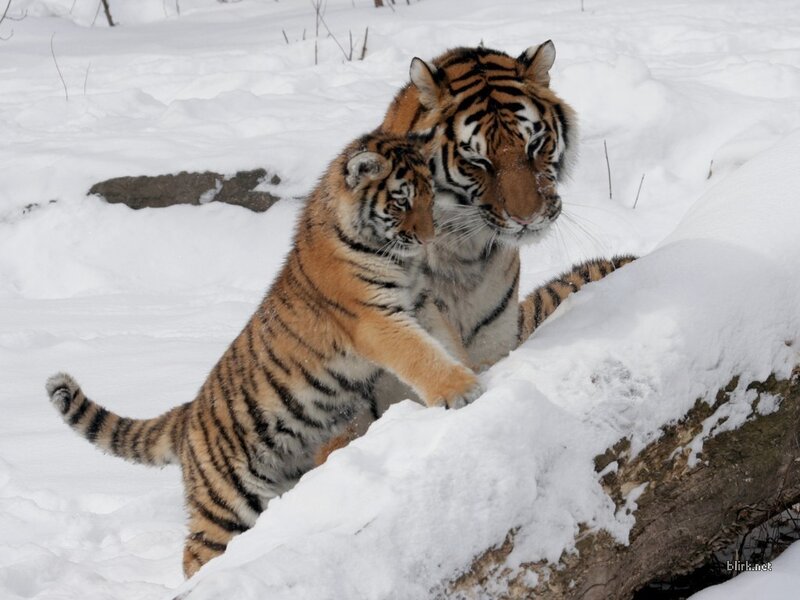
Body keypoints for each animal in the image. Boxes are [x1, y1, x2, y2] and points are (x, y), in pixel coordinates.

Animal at [45, 130, 482, 577]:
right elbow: (419, 355)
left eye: (430, 196)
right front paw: (462, 390)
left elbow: (445, 344)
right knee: (197, 554)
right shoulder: (375, 318)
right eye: (400, 202)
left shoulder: (422, 305)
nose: (428, 239)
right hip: (227, 502)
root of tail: (188, 413)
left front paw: (478, 372)